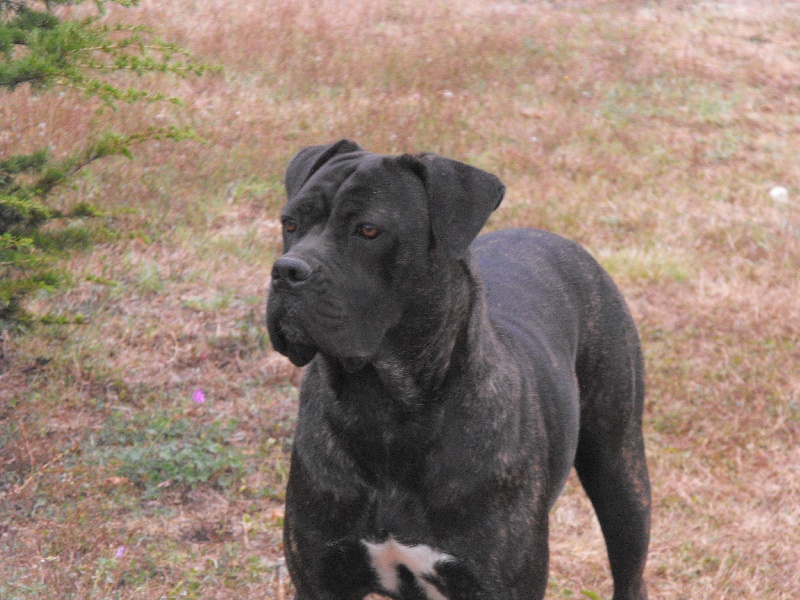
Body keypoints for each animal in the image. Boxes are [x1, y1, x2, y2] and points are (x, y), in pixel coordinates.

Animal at [268, 141, 648, 600]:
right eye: (289, 222)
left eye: (369, 230)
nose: (287, 270)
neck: (385, 407)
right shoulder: (319, 578)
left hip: (620, 473)